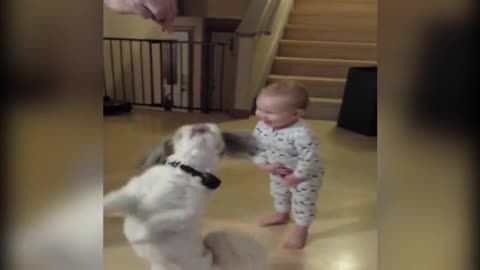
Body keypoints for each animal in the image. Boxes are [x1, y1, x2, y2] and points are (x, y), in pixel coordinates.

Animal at [103, 123, 266, 270]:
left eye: (215, 130)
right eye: (180, 133)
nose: (200, 125)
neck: (187, 170)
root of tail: (212, 261)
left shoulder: (185, 212)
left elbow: (157, 222)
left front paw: (139, 235)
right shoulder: (133, 194)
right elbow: (115, 200)